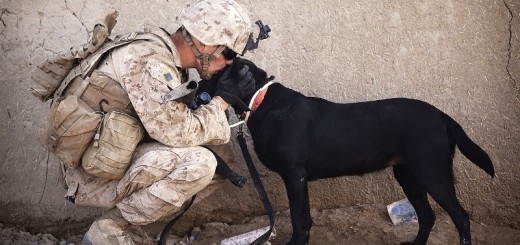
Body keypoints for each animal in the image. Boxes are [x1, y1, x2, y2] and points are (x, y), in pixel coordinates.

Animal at [201, 58, 494, 245]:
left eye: (213, 73)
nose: (194, 87)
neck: (260, 100)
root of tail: (442, 116)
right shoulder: (300, 179)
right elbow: (306, 218)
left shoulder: (293, 176)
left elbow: (297, 218)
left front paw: (295, 242)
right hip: (408, 175)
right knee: (427, 216)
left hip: (432, 173)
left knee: (460, 217)